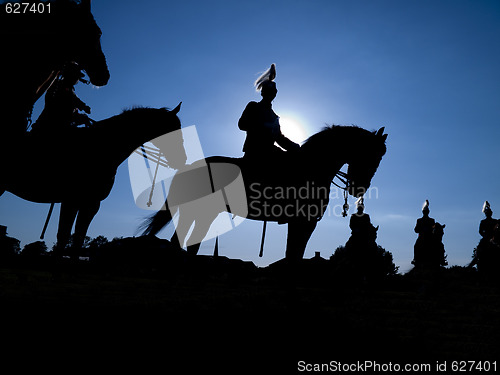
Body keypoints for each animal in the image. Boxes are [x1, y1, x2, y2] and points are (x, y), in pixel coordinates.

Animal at [0, 104, 184, 254]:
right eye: (174, 130)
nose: (183, 158)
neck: (100, 149)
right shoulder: (71, 201)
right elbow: (64, 236)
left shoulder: (91, 203)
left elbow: (78, 238)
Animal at [143, 125, 388, 260]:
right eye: (372, 155)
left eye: (380, 157)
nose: (359, 188)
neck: (311, 166)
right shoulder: (303, 221)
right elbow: (294, 254)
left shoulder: (302, 222)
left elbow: (294, 253)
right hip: (201, 213)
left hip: (200, 214)